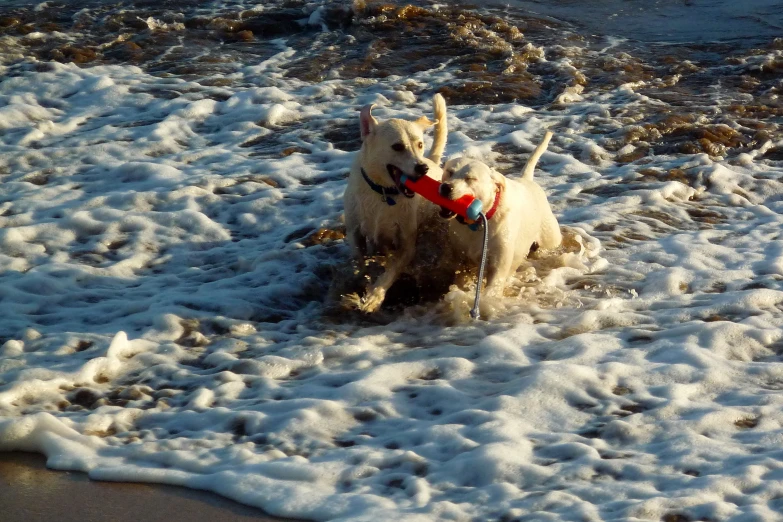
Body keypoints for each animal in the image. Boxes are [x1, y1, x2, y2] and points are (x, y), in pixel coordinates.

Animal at [344, 92, 448, 312]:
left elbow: (391, 270)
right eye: (397, 147)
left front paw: (374, 296)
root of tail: (433, 162)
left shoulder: (407, 245)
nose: (422, 168)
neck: (383, 193)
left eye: (420, 145)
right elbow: (359, 261)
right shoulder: (354, 232)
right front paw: (362, 280)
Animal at [438, 130, 560, 294]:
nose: (446, 187)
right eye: (449, 172)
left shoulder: (498, 266)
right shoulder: (462, 261)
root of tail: (527, 180)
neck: (479, 222)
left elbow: (492, 288)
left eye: (470, 178)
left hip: (549, 238)